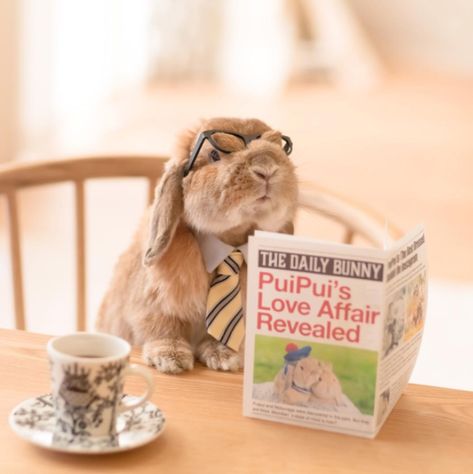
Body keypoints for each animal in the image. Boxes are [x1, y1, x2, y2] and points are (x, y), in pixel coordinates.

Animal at [96, 117, 296, 374]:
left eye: (280, 147)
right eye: (214, 155)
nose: (267, 168)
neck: (230, 242)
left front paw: (223, 356)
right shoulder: (154, 302)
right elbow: (162, 326)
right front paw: (170, 358)